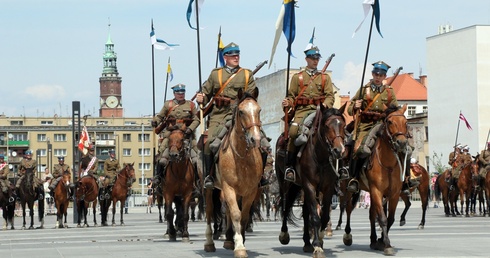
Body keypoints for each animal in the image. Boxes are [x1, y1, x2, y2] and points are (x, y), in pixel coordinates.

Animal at [203, 88, 264, 258]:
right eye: (241, 112)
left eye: (259, 110)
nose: (256, 139)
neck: (242, 156)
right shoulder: (228, 188)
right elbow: (236, 214)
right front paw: (240, 247)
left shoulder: (251, 191)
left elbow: (243, 216)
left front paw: (240, 240)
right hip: (210, 190)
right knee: (209, 212)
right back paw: (209, 243)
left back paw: (230, 240)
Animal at [276, 105, 348, 258]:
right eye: (326, 126)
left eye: (343, 126)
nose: (339, 150)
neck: (321, 157)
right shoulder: (310, 185)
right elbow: (315, 216)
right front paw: (317, 246)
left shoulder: (327, 188)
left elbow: (324, 216)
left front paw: (319, 240)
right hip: (285, 183)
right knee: (285, 205)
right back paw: (284, 234)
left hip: (300, 186)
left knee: (305, 211)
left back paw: (307, 243)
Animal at [342, 104, 408, 255]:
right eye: (390, 122)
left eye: (406, 122)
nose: (401, 143)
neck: (388, 164)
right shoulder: (377, 190)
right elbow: (382, 218)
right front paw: (387, 245)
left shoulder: (394, 194)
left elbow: (390, 218)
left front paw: (381, 241)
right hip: (349, 189)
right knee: (348, 208)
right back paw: (347, 235)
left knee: (371, 213)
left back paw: (373, 240)